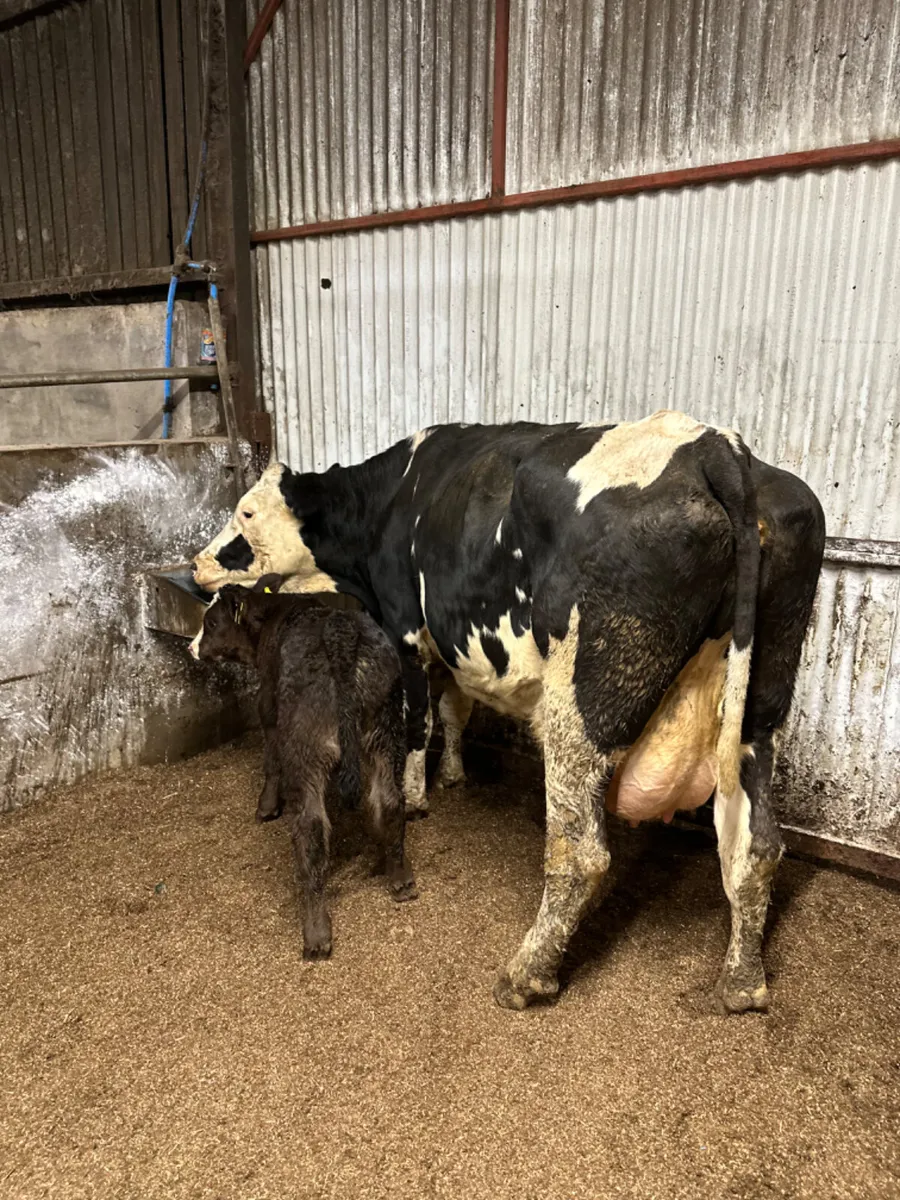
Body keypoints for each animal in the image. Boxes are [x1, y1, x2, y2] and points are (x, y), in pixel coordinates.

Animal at [190, 575, 417, 959]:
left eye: (212, 622)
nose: (192, 647)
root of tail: (341, 632)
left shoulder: (268, 706)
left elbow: (271, 761)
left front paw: (266, 807)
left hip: (305, 746)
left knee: (311, 828)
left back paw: (316, 933)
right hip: (387, 730)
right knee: (389, 800)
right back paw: (399, 877)